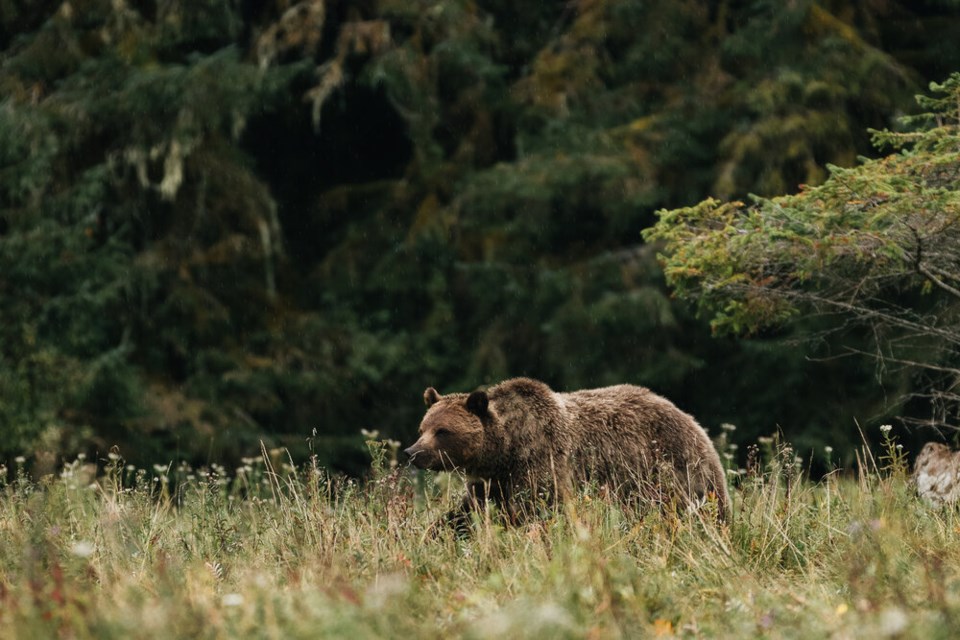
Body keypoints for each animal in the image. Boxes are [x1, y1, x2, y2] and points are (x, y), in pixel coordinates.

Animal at [404, 376, 728, 528]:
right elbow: (465, 514)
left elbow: (541, 509)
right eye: (423, 428)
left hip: (670, 468)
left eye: (443, 431)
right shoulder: (493, 482)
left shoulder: (540, 461)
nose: (412, 452)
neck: (505, 448)